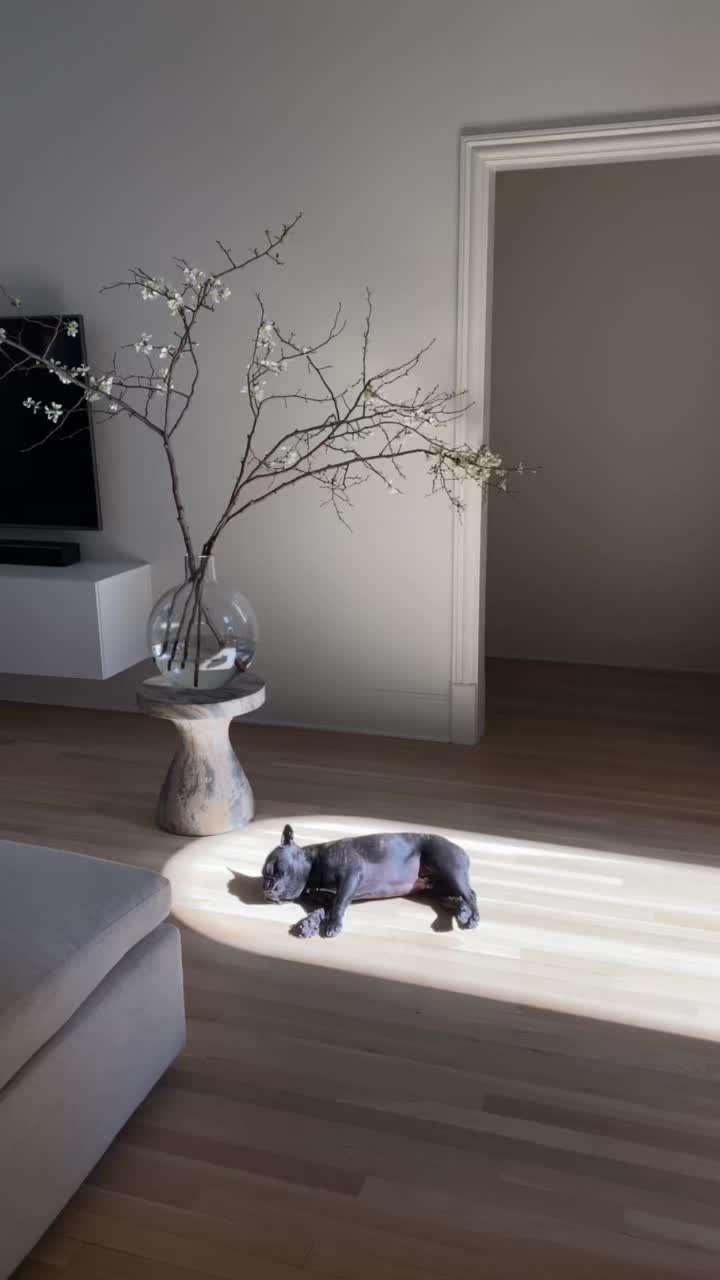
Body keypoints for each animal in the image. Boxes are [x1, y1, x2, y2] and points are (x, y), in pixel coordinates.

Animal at [261, 824, 479, 938]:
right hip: (437, 888)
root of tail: (461, 849)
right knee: (455, 898)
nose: (265, 885)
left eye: (274, 868)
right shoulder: (326, 898)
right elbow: (322, 910)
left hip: (448, 866)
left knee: (470, 894)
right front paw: (310, 923)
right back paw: (462, 913)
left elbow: (339, 903)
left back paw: (472, 917)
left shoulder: (351, 875)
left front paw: (333, 925)